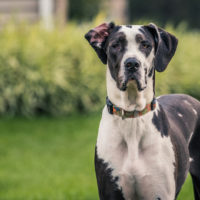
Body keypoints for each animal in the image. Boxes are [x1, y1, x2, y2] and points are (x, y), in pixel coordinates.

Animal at [84, 22, 200, 199]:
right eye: (115, 45)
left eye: (145, 45)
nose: (132, 63)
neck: (132, 118)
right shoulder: (110, 191)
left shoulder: (160, 193)